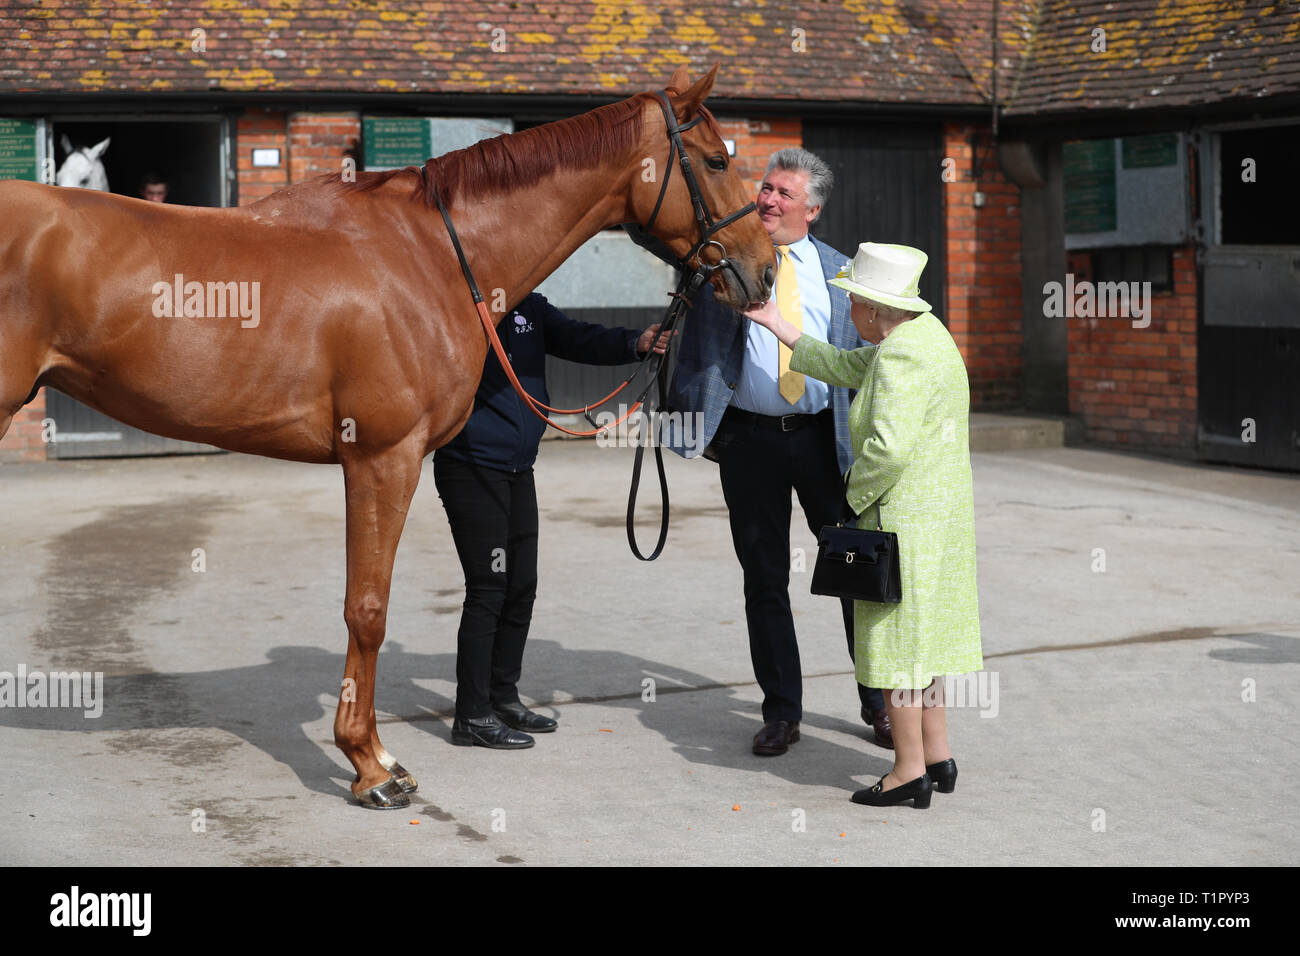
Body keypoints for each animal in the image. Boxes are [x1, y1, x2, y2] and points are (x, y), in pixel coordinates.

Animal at [0, 65, 769, 806]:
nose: (760, 271)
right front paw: (371, 767)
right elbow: (368, 609)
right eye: (714, 159)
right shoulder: (382, 458)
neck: (431, 256)